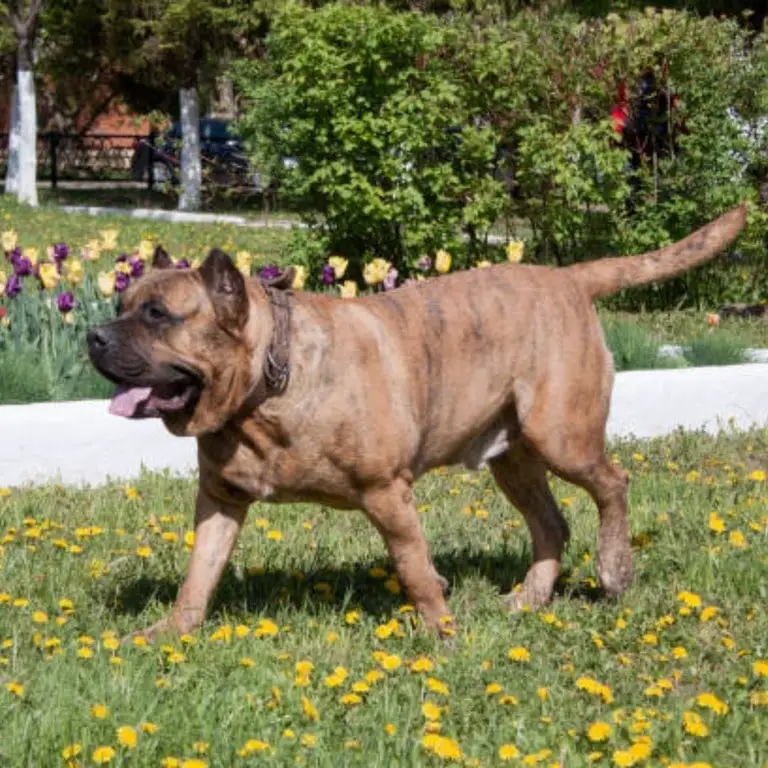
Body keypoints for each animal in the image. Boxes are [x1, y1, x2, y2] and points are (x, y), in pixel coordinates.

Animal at [88, 204, 744, 640]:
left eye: (157, 314)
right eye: (121, 305)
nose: (94, 336)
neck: (268, 387)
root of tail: (568, 277)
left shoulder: (387, 494)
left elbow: (415, 568)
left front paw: (441, 633)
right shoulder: (221, 501)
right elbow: (199, 573)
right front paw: (172, 631)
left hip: (564, 436)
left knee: (612, 485)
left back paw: (615, 570)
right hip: (513, 459)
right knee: (551, 524)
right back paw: (530, 598)